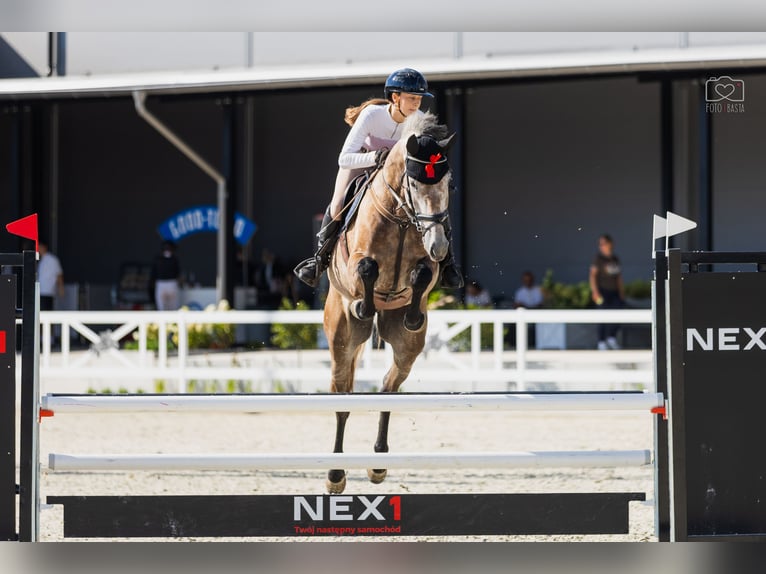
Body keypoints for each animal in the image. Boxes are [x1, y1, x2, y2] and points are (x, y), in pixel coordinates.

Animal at [323, 111, 455, 493]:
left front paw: (412, 311)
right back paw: (335, 474)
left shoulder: (427, 267)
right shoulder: (354, 264)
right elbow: (366, 268)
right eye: (414, 184)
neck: (400, 217)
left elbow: (422, 275)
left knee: (389, 386)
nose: (439, 245)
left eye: (449, 184)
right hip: (342, 339)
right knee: (342, 397)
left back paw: (378, 465)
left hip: (408, 347)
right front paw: (364, 305)